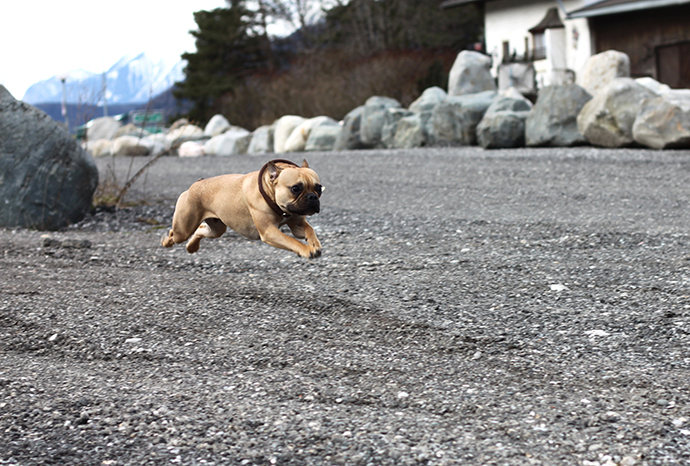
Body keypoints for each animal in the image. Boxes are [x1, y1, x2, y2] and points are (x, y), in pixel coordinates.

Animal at [161, 160, 322, 258]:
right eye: (295, 188)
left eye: (319, 188)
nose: (313, 197)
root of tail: (195, 184)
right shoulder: (269, 232)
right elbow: (291, 240)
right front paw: (307, 250)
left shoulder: (297, 224)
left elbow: (309, 230)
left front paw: (314, 243)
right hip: (183, 229)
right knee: (174, 233)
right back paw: (166, 241)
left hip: (217, 229)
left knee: (200, 229)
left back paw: (191, 247)